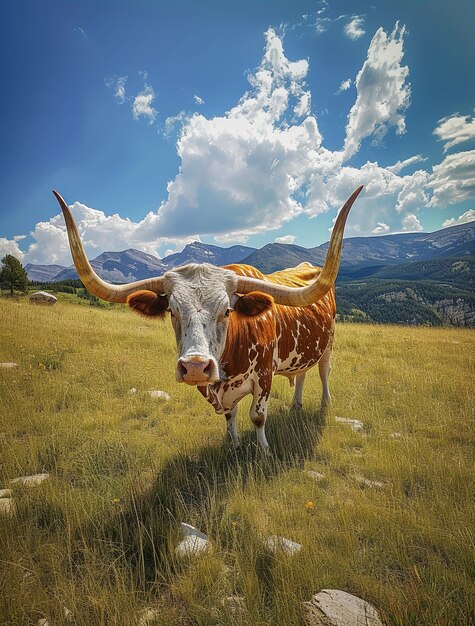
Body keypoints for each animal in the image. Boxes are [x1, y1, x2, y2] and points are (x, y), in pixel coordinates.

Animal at [53, 185, 364, 448]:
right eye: (172, 311)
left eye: (227, 311)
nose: (194, 367)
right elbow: (230, 416)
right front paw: (234, 445)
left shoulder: (264, 377)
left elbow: (258, 416)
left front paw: (263, 450)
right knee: (300, 374)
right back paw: (296, 405)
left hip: (329, 343)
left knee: (323, 372)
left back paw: (324, 405)